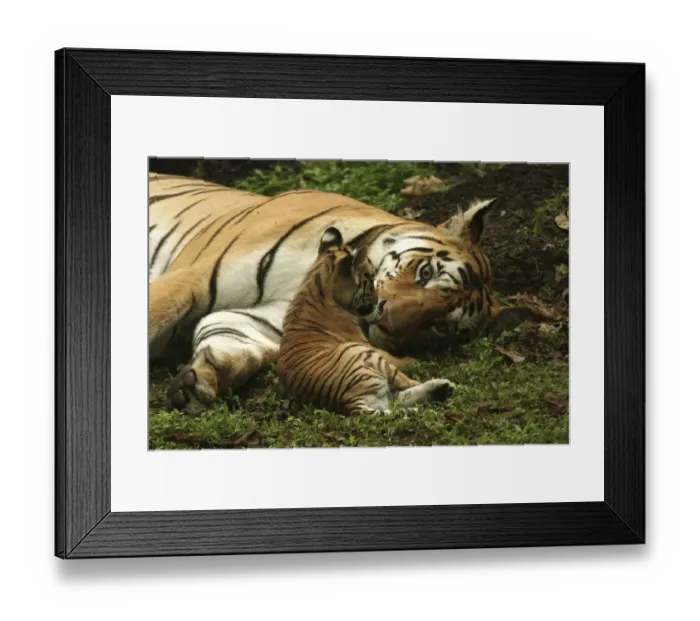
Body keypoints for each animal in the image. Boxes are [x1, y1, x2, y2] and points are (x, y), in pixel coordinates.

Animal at [278, 227, 456, 416]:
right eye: (370, 278)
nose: (380, 302)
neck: (314, 284)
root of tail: (347, 401)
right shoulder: (365, 344)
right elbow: (396, 360)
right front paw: (412, 360)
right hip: (366, 355)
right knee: (404, 384)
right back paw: (442, 386)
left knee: (399, 398)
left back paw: (441, 390)